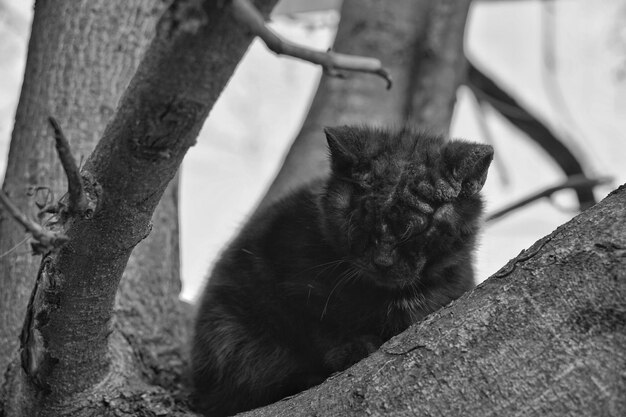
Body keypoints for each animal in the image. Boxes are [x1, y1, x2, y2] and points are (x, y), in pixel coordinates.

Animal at [190, 125, 492, 414]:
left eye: (413, 229)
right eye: (361, 219)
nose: (382, 261)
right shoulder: (290, 279)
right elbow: (318, 324)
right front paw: (352, 349)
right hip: (229, 333)